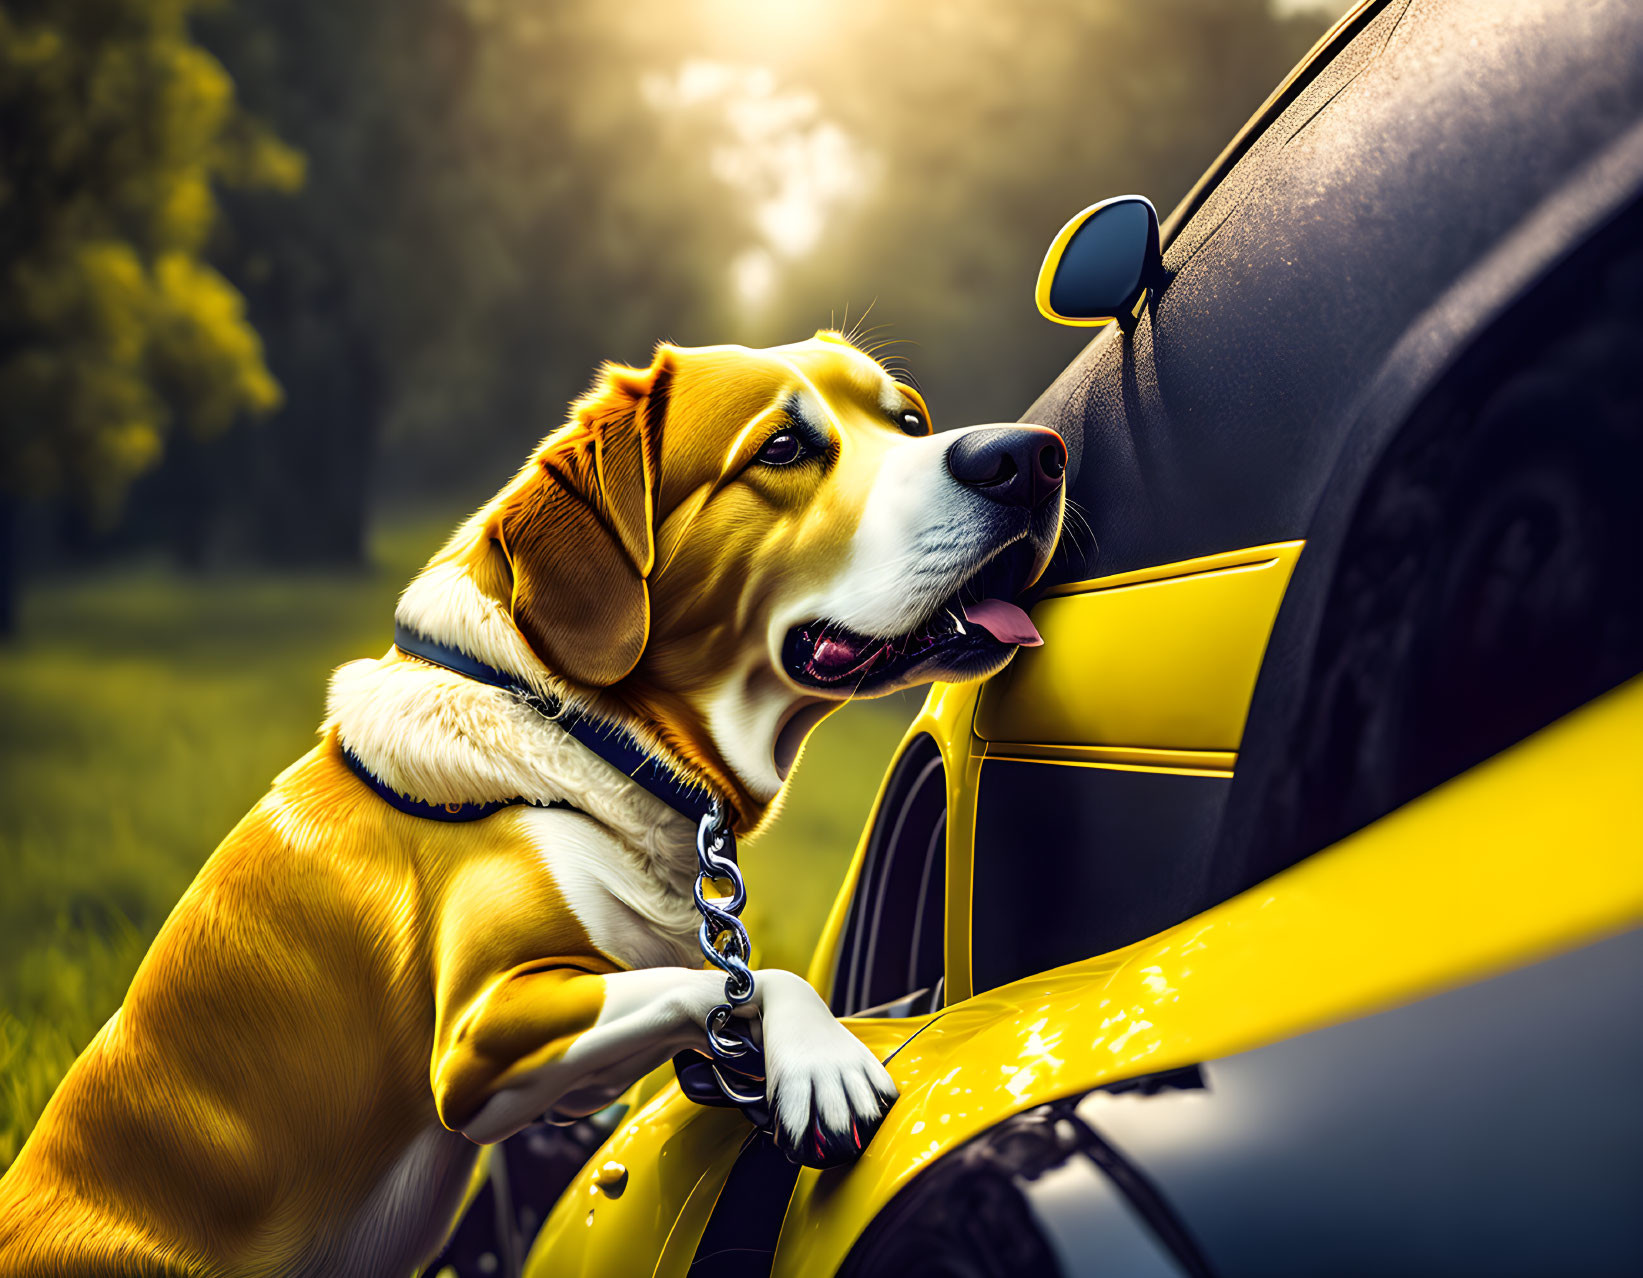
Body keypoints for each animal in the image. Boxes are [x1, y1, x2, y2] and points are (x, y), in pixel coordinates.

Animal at [0, 333, 1064, 1268]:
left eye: (909, 418)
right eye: (782, 448)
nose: (1028, 456)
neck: (584, 733)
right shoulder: (483, 1036)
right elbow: (741, 978)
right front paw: (823, 1059)